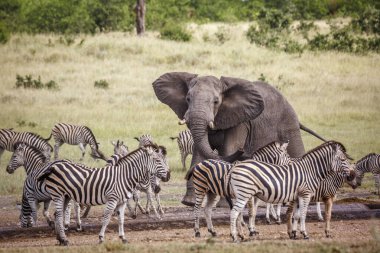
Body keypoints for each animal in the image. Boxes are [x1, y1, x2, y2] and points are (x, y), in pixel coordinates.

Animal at [36, 144, 170, 245]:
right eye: (157, 160)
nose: (168, 176)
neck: (124, 176)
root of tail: (54, 166)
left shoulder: (122, 202)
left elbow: (121, 220)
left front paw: (123, 238)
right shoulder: (112, 199)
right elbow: (106, 218)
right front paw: (101, 238)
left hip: (66, 196)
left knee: (57, 214)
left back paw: (60, 239)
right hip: (57, 193)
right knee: (59, 215)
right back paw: (64, 240)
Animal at [153, 71, 326, 206]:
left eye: (216, 101)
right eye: (188, 99)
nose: (245, 152)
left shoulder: (241, 121)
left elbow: (228, 149)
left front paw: (223, 204)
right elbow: (198, 153)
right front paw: (189, 202)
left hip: (289, 124)